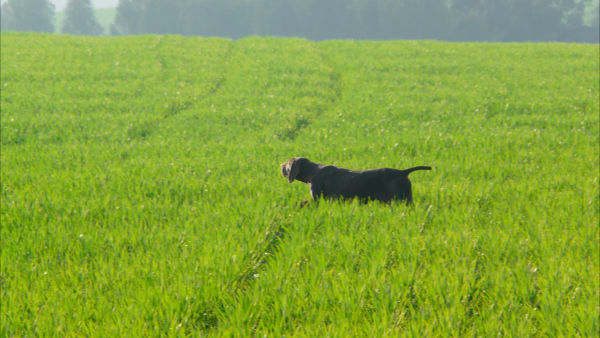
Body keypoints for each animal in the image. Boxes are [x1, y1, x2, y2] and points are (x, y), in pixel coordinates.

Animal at [282, 158, 432, 203]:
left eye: (288, 163)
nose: (280, 165)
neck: (313, 172)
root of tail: (402, 172)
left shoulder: (318, 199)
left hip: (401, 200)